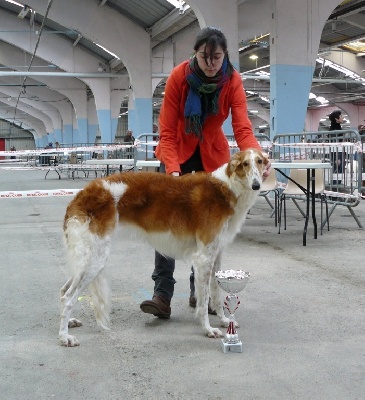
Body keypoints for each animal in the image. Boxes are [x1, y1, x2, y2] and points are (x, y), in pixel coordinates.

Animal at [57, 148, 268, 346]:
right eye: (245, 164)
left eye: (259, 161)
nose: (256, 185)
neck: (226, 189)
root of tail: (81, 195)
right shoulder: (203, 258)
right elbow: (203, 301)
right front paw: (208, 329)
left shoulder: (216, 255)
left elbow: (216, 293)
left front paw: (224, 320)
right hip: (95, 258)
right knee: (68, 297)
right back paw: (64, 337)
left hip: (88, 258)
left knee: (63, 290)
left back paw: (70, 323)